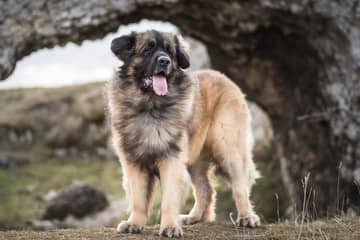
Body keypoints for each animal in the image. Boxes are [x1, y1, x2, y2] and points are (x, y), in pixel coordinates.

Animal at [105, 30, 260, 238]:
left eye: (170, 52)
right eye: (147, 49)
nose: (164, 61)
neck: (150, 107)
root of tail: (223, 77)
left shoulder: (171, 160)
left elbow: (169, 199)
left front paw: (170, 227)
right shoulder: (134, 163)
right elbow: (138, 199)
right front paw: (134, 223)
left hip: (229, 149)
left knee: (240, 187)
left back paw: (247, 217)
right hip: (195, 160)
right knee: (206, 190)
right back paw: (194, 218)